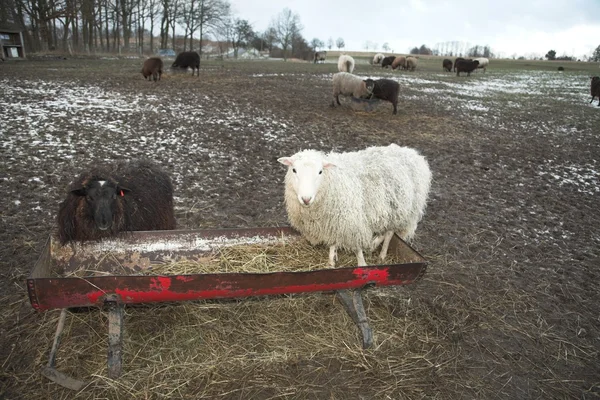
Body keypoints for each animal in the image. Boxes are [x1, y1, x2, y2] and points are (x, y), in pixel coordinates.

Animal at [278, 142, 432, 268]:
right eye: (294, 170)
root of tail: (410, 152)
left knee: (389, 233)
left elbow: (357, 247)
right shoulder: (333, 222)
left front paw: (361, 263)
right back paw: (374, 243)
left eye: (320, 171)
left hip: (402, 211)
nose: (306, 199)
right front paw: (331, 261)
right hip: (389, 210)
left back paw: (381, 253)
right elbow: (333, 242)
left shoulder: (353, 222)